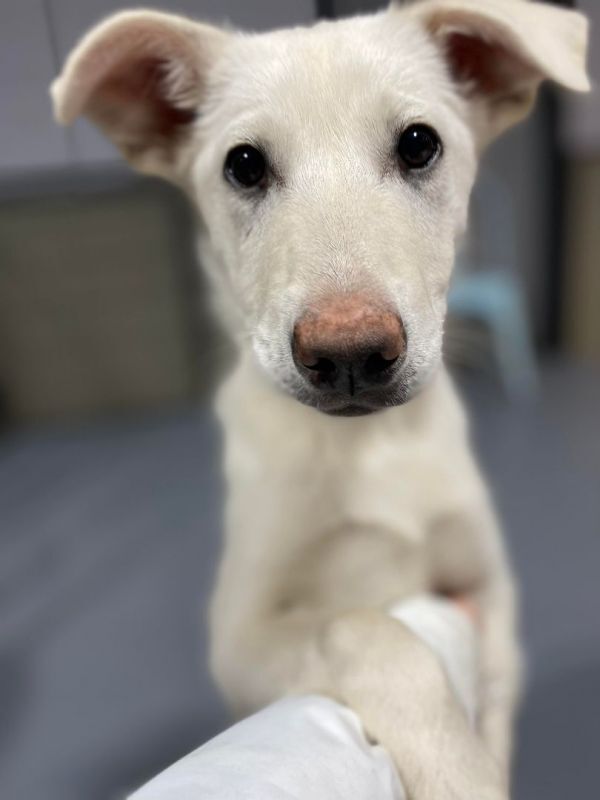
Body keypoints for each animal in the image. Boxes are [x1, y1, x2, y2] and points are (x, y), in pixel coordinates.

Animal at [52, 3, 592, 796]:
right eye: (244, 165)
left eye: (419, 145)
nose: (349, 356)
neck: (368, 449)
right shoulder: (241, 635)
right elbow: (370, 631)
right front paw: (457, 770)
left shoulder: (487, 592)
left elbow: (494, 694)